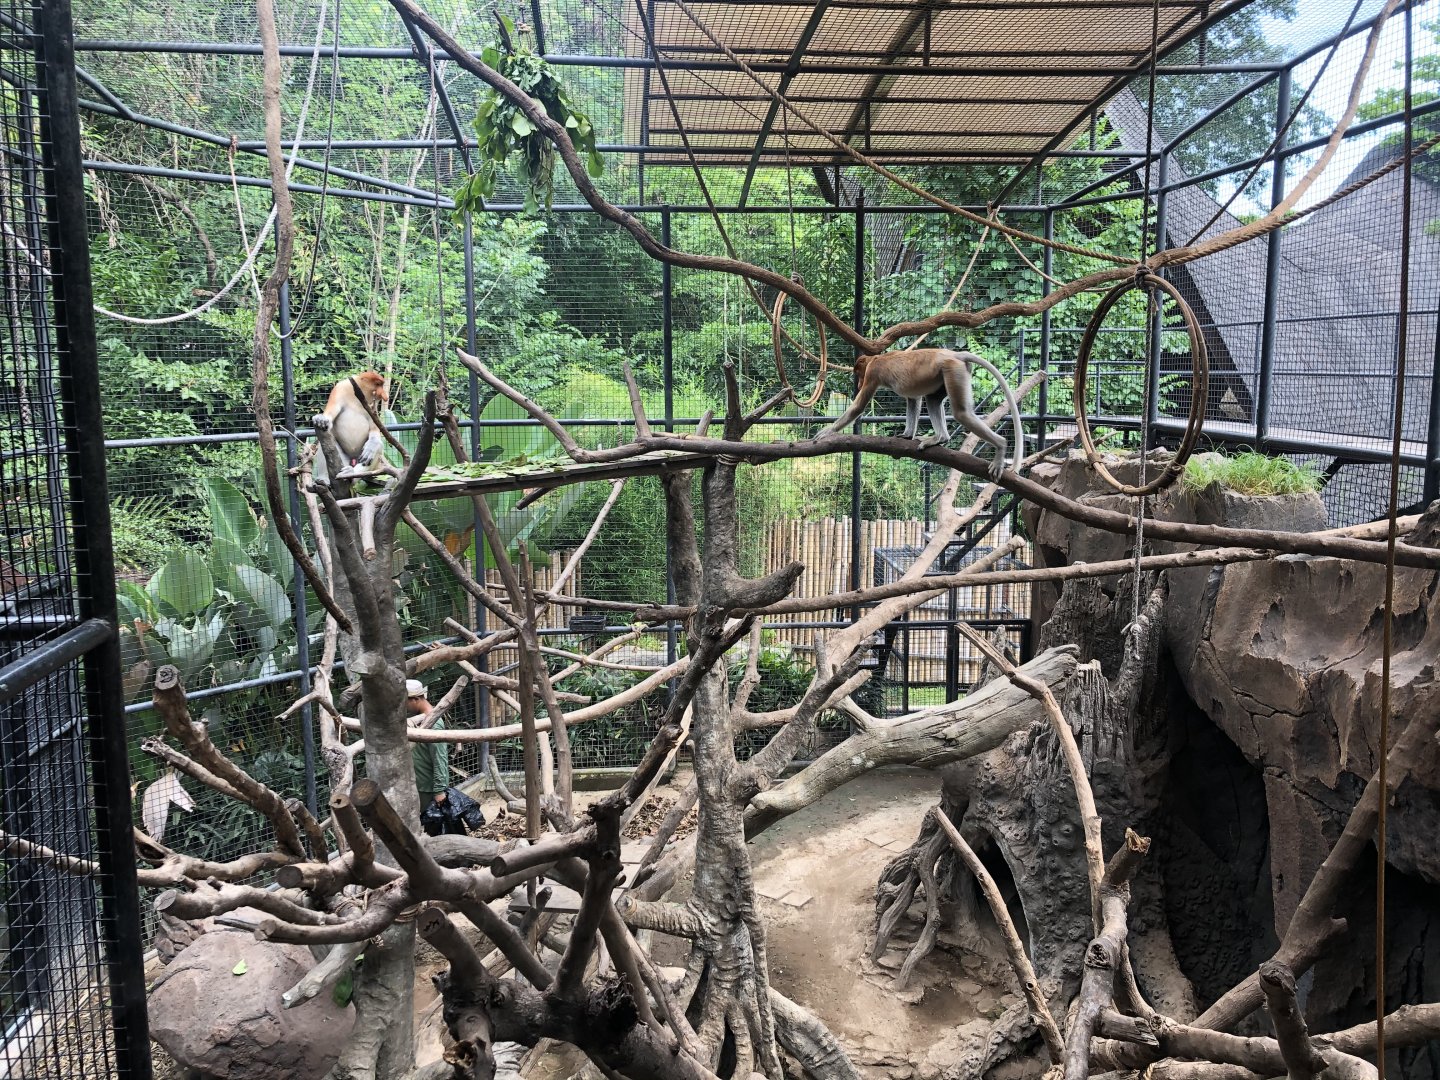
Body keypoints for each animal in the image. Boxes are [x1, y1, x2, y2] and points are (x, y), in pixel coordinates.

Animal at [818, 348, 1024, 481]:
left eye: (859, 373)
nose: (859, 384)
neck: (877, 358)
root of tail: (953, 354)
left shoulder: (873, 373)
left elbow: (858, 407)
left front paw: (826, 432)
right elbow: (913, 399)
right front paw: (907, 435)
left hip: (953, 370)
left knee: (961, 413)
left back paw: (1000, 446)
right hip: (946, 375)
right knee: (932, 400)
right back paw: (940, 438)